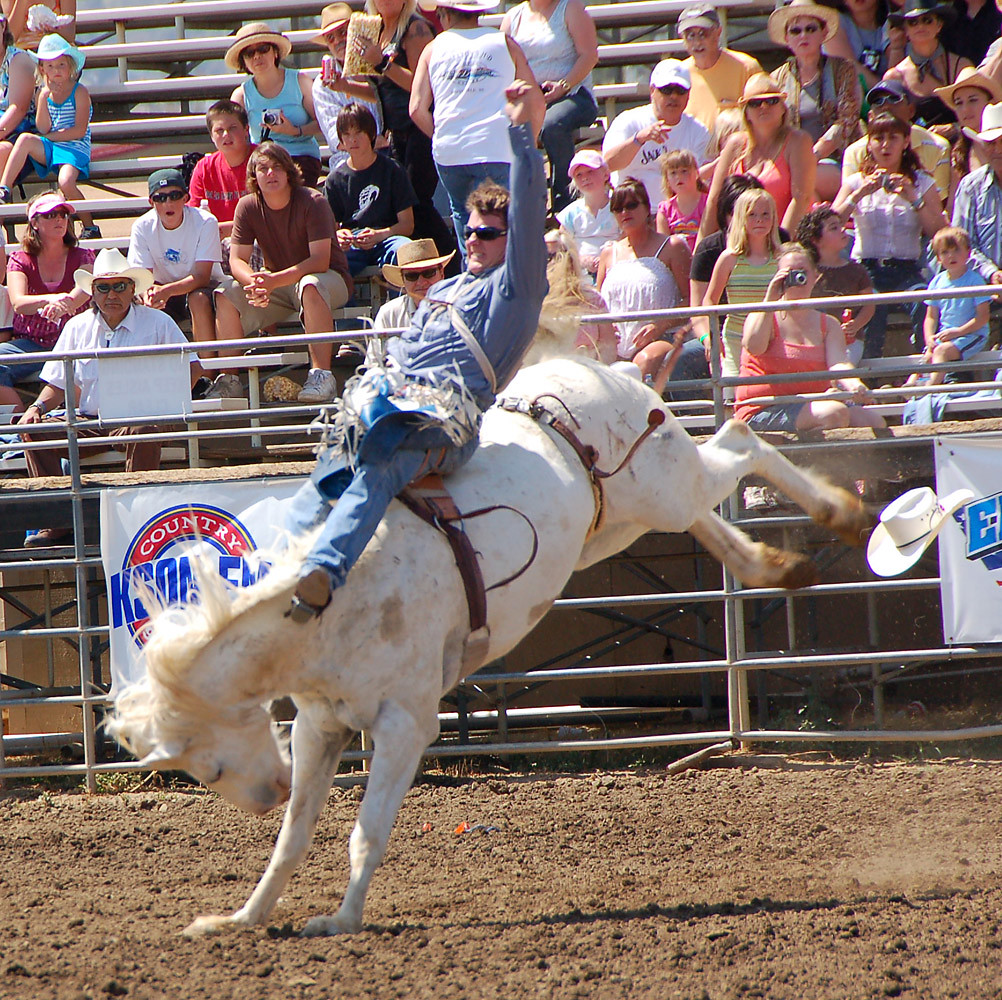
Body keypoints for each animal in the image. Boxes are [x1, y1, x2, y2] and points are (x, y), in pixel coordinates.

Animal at [107, 356, 869, 938]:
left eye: (205, 767)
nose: (268, 793)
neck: (322, 607)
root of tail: (596, 369)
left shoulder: (405, 722)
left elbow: (366, 831)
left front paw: (341, 920)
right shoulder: (320, 724)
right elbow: (293, 838)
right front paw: (241, 919)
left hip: (666, 486)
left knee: (739, 441)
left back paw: (841, 512)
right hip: (616, 524)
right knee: (708, 518)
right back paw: (776, 566)